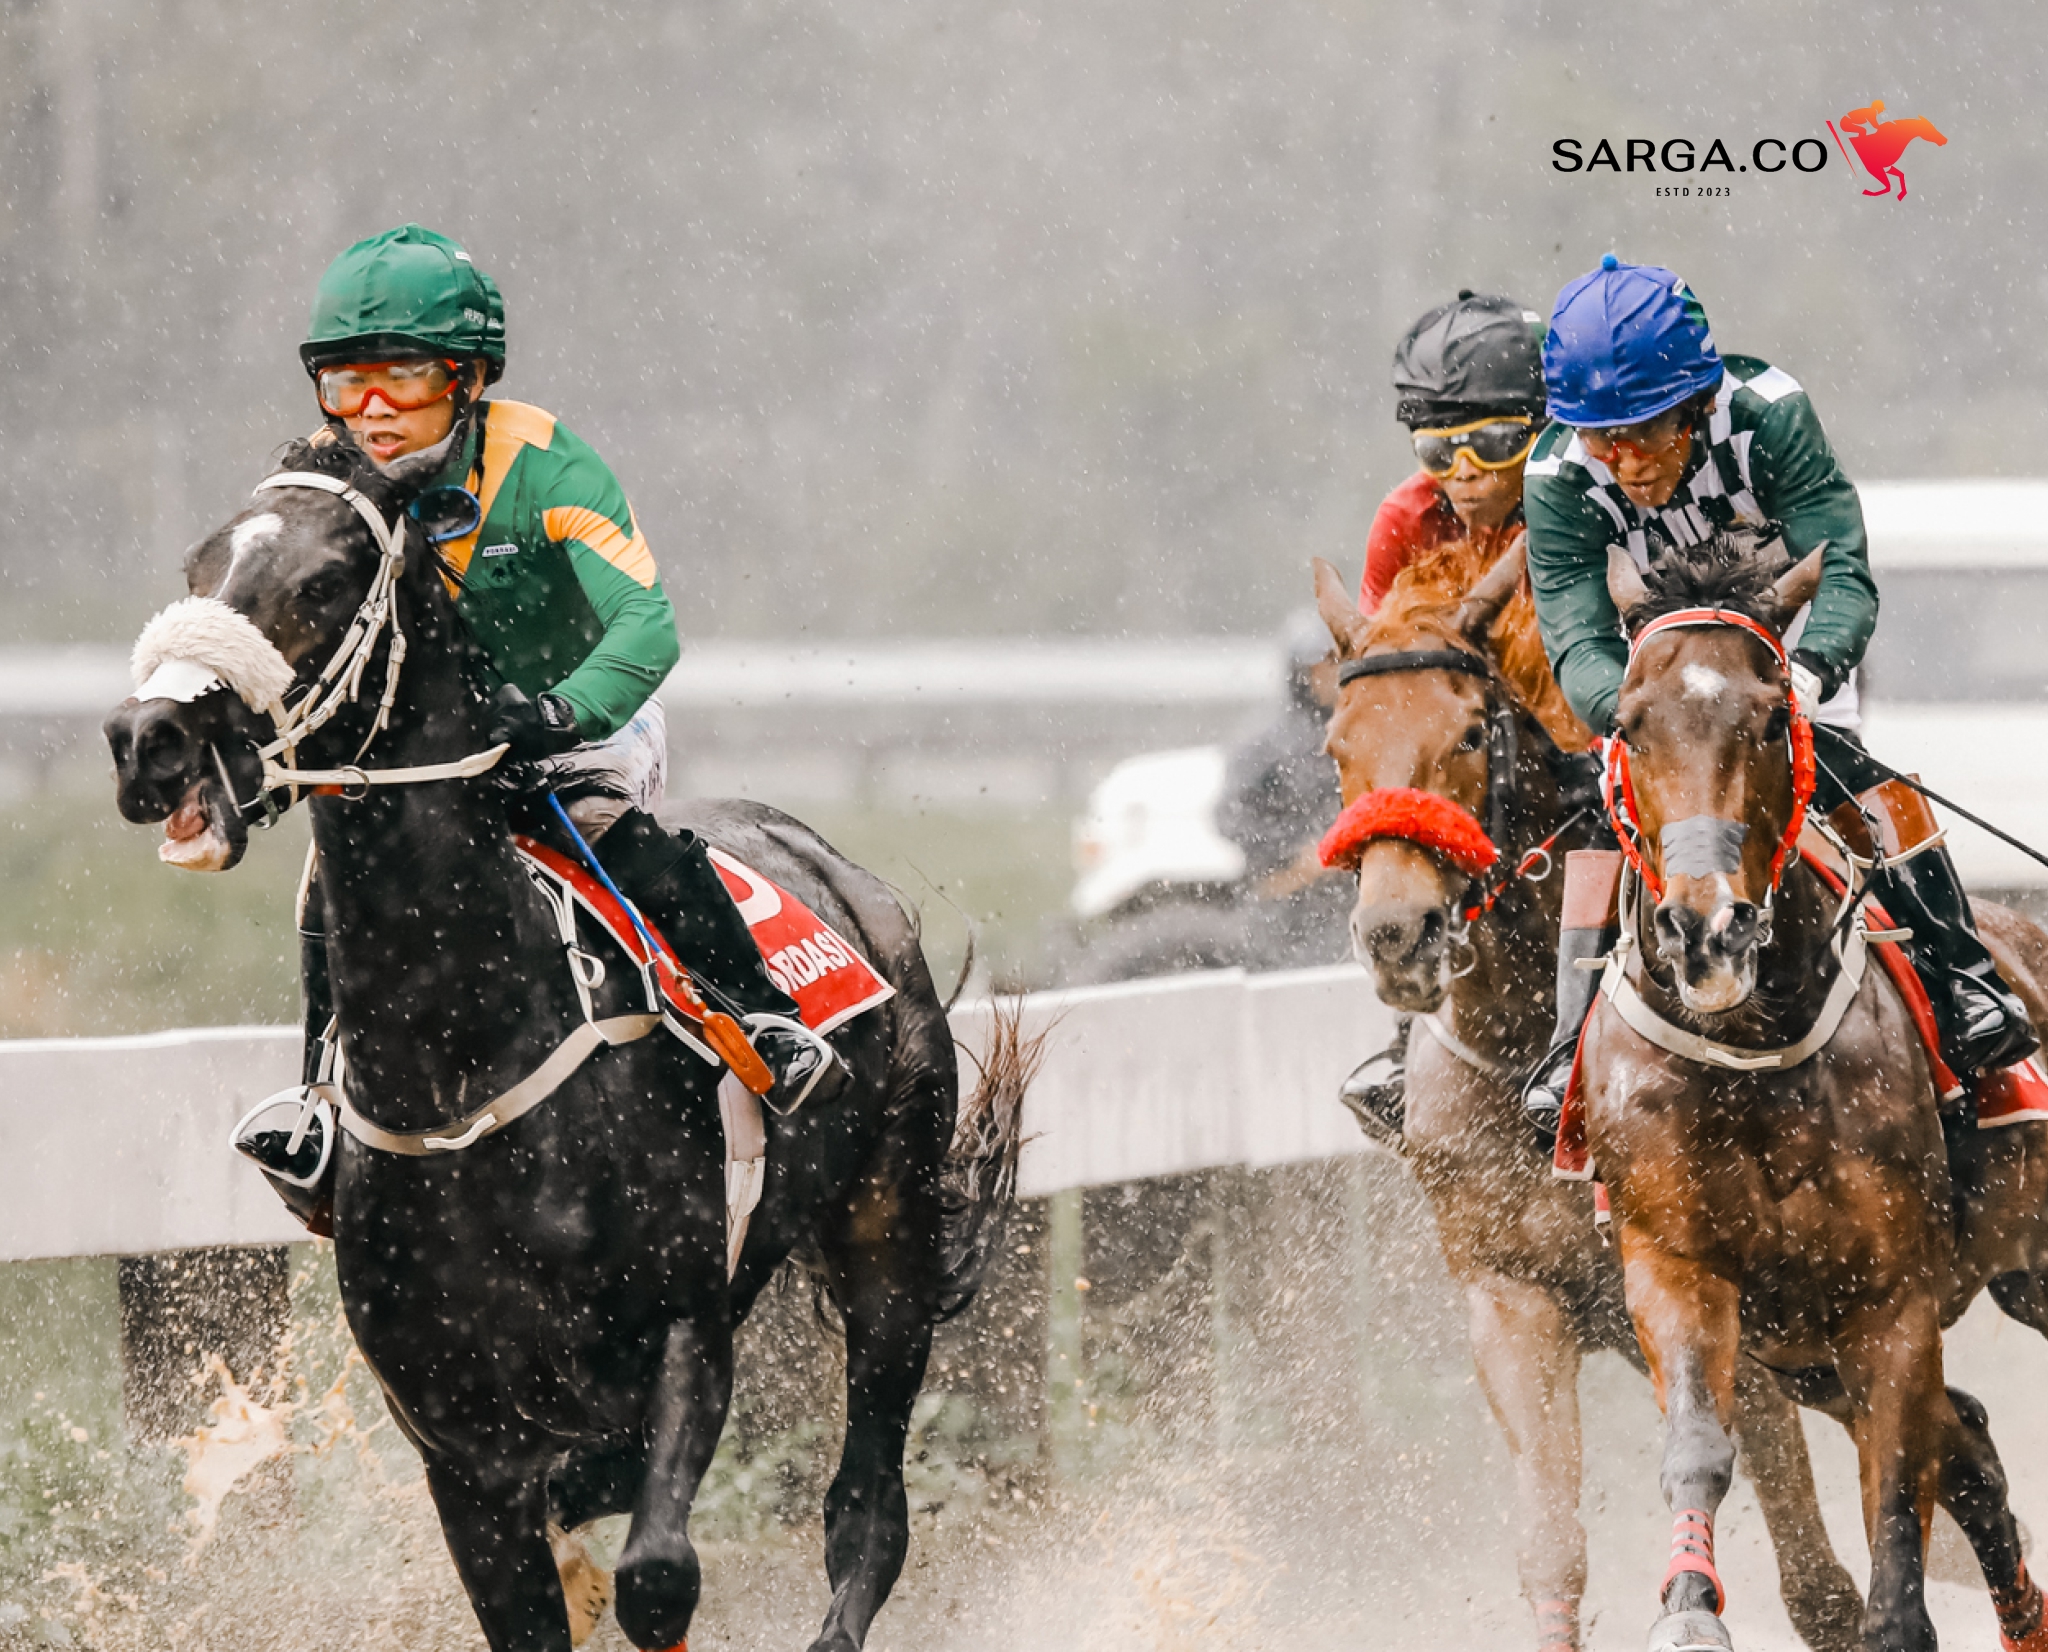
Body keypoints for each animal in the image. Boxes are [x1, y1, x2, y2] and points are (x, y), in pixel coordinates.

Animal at [102, 432, 1027, 1652]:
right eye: (199, 563)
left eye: (326, 579)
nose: (146, 740)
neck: (466, 1071)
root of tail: (840, 868)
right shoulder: (457, 1442)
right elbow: (539, 1579)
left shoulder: (684, 1336)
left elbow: (657, 1573)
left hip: (885, 1234)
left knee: (867, 1508)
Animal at [1310, 540, 1861, 1652]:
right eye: (1339, 745)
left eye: (1468, 730)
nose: (1396, 932)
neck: (1531, 1057)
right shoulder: (1510, 1296)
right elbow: (1551, 1545)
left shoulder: (1728, 1295)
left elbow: (1818, 1578)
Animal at [1584, 532, 2048, 1652]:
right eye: (1629, 723)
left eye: (1766, 717)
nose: (1705, 928)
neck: (1753, 1049)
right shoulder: (1679, 1268)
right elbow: (1698, 1441)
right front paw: (1687, 1608)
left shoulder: (1888, 1301)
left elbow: (1895, 1508)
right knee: (1971, 1448)